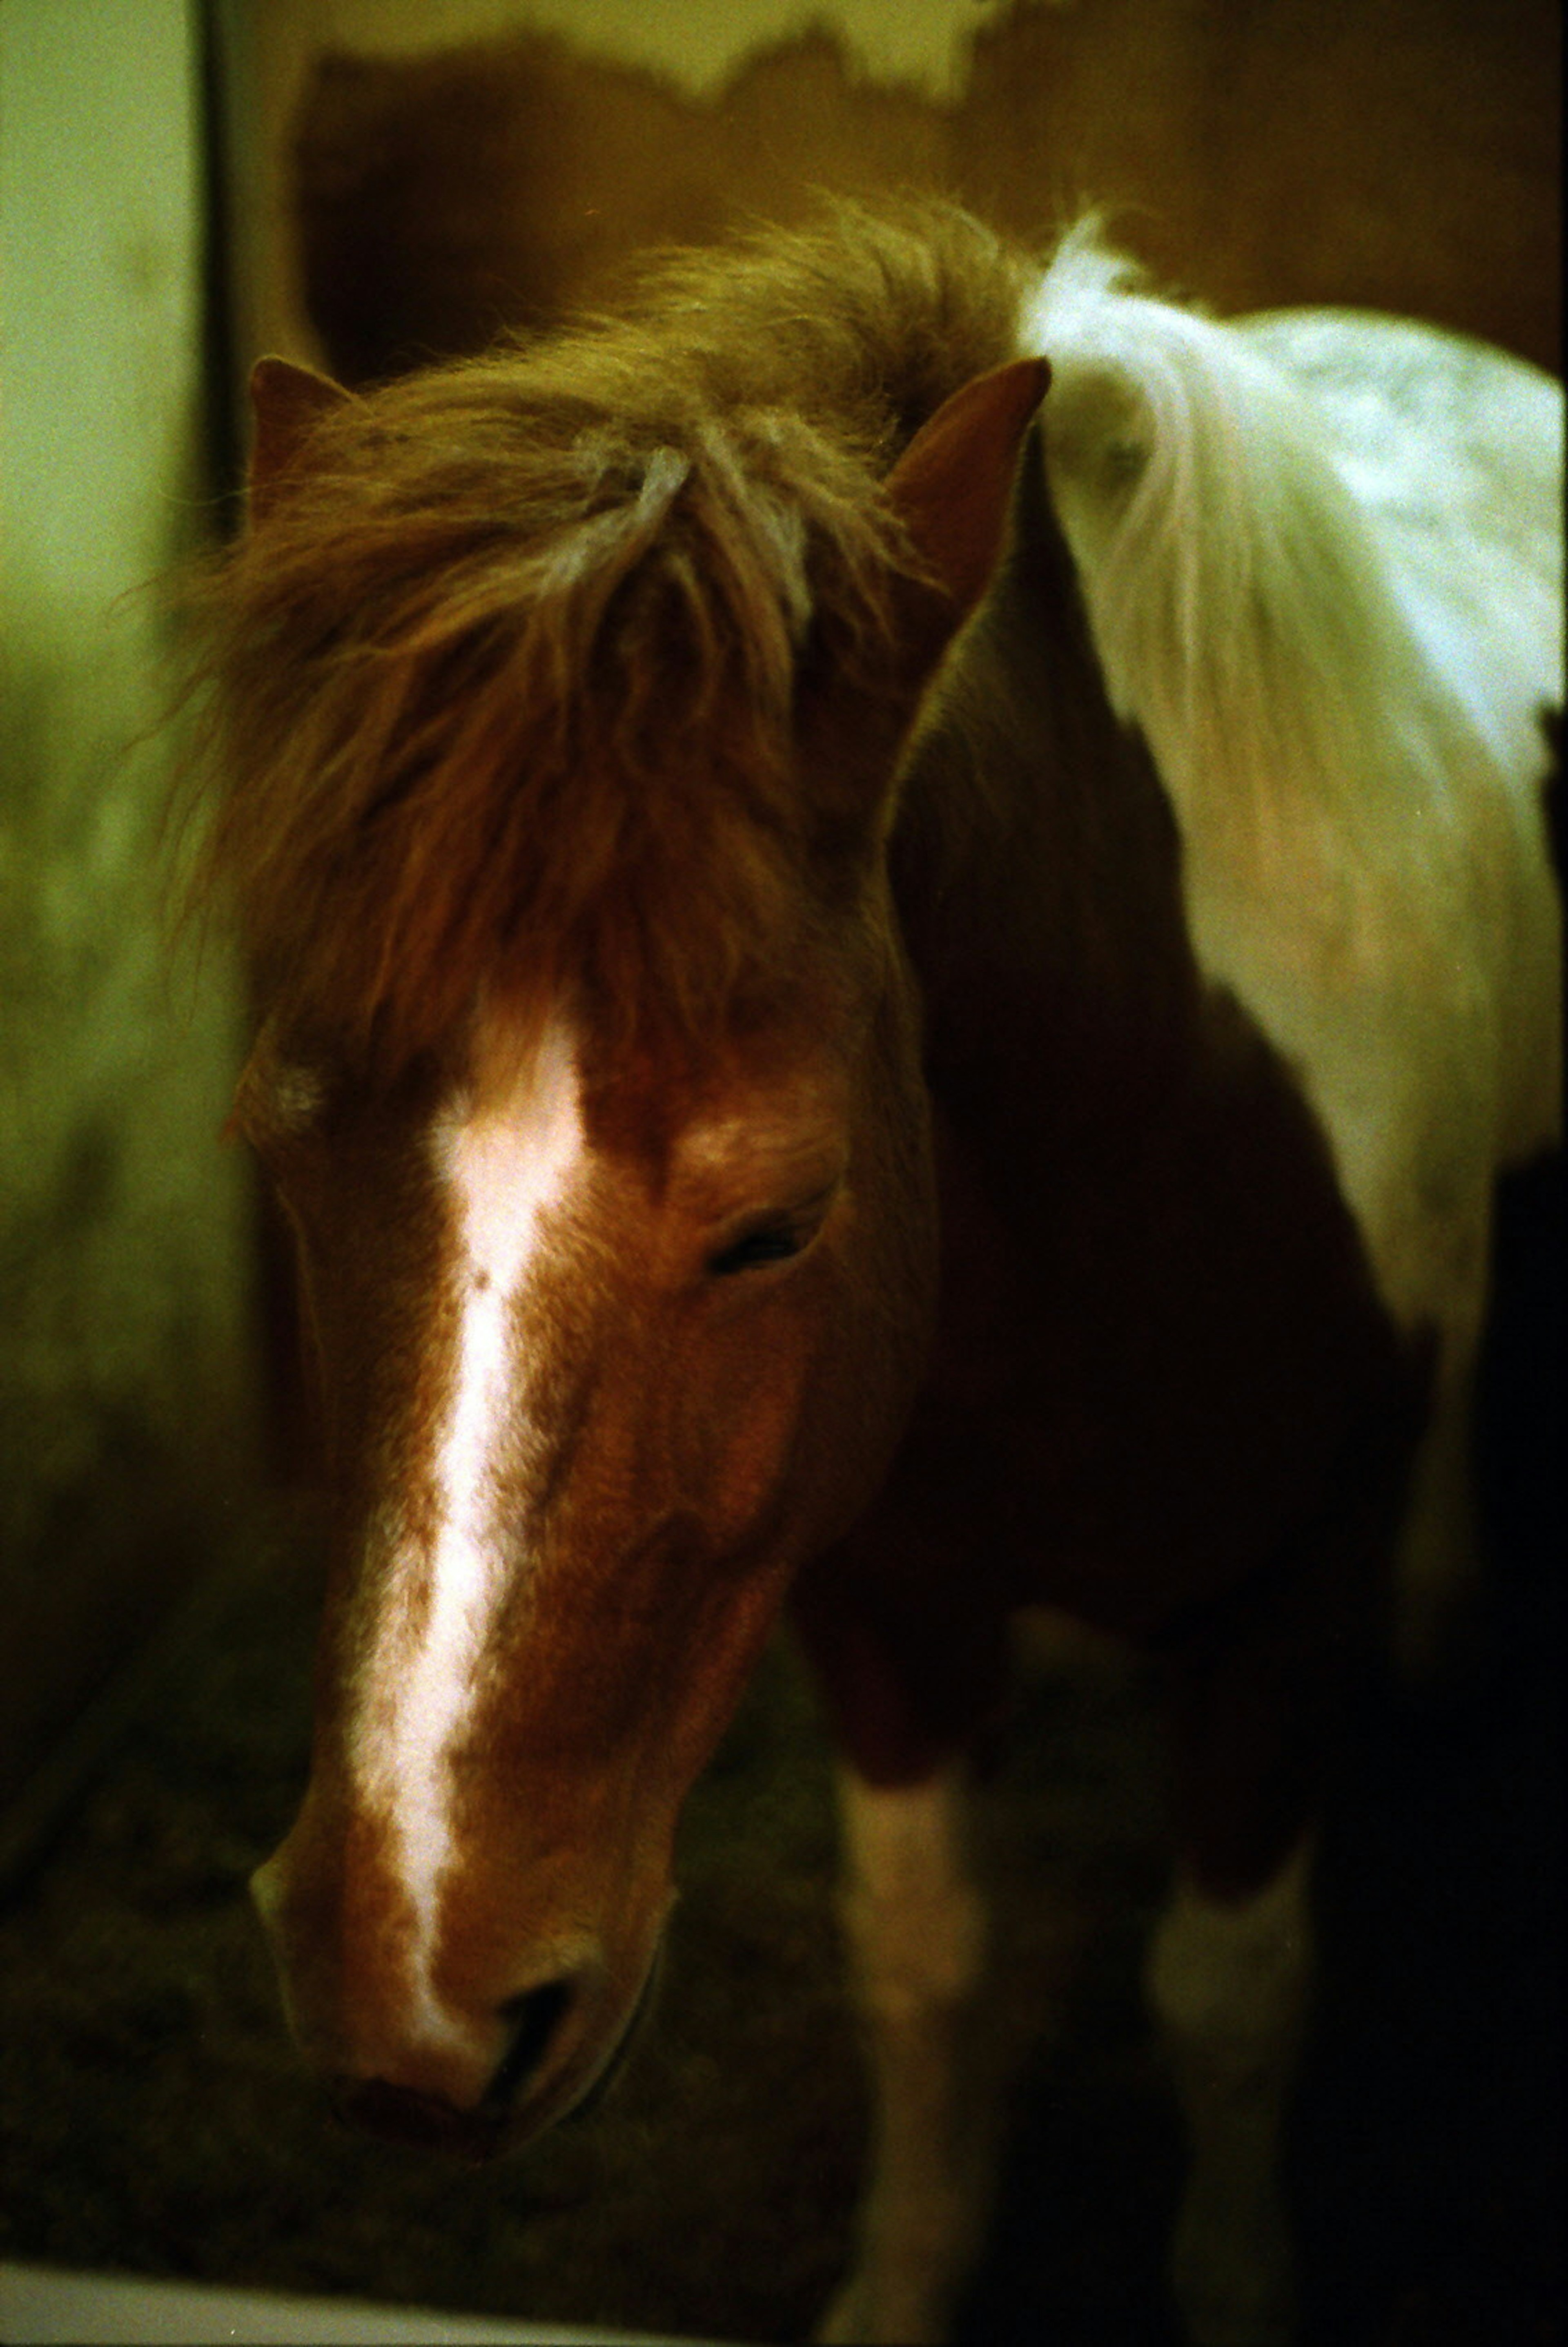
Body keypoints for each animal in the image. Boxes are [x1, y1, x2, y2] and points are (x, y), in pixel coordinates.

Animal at [190, 211, 1559, 2338]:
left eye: (782, 1215)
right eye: (284, 1140)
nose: (411, 2011)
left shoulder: (1284, 1600)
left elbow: (1229, 1997)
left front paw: (1233, 2276)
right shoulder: (875, 1600)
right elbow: (923, 1969)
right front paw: (908, 2276)